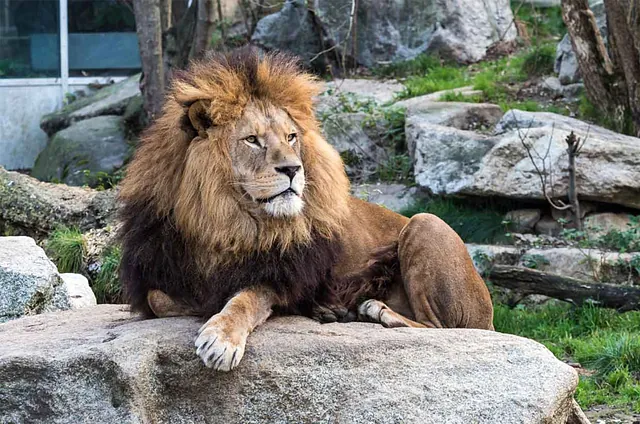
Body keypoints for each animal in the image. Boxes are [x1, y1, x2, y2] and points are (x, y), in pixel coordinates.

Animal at [118, 47, 494, 372]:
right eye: (252, 140)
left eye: (291, 137)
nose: (292, 169)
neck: (222, 220)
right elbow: (158, 298)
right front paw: (198, 304)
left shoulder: (279, 276)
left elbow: (244, 300)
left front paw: (221, 337)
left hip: (425, 222)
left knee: (441, 329)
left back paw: (375, 310)